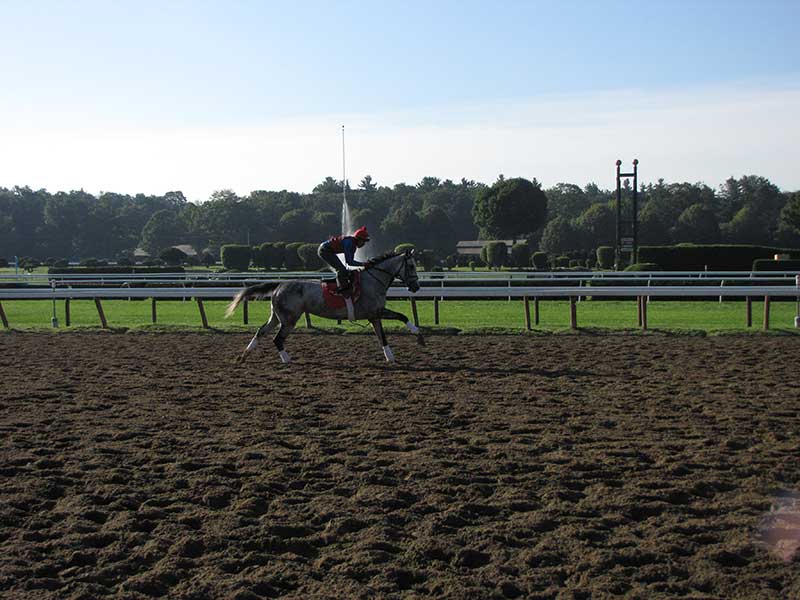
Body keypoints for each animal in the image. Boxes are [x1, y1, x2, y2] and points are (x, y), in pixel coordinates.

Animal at [223, 247, 422, 364]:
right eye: (412, 266)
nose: (416, 287)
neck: (373, 280)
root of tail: (279, 285)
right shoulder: (376, 311)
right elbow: (401, 318)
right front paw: (418, 336)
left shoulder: (374, 315)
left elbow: (383, 335)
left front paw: (392, 356)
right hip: (289, 319)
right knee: (277, 339)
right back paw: (287, 359)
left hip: (277, 317)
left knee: (261, 331)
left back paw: (243, 356)